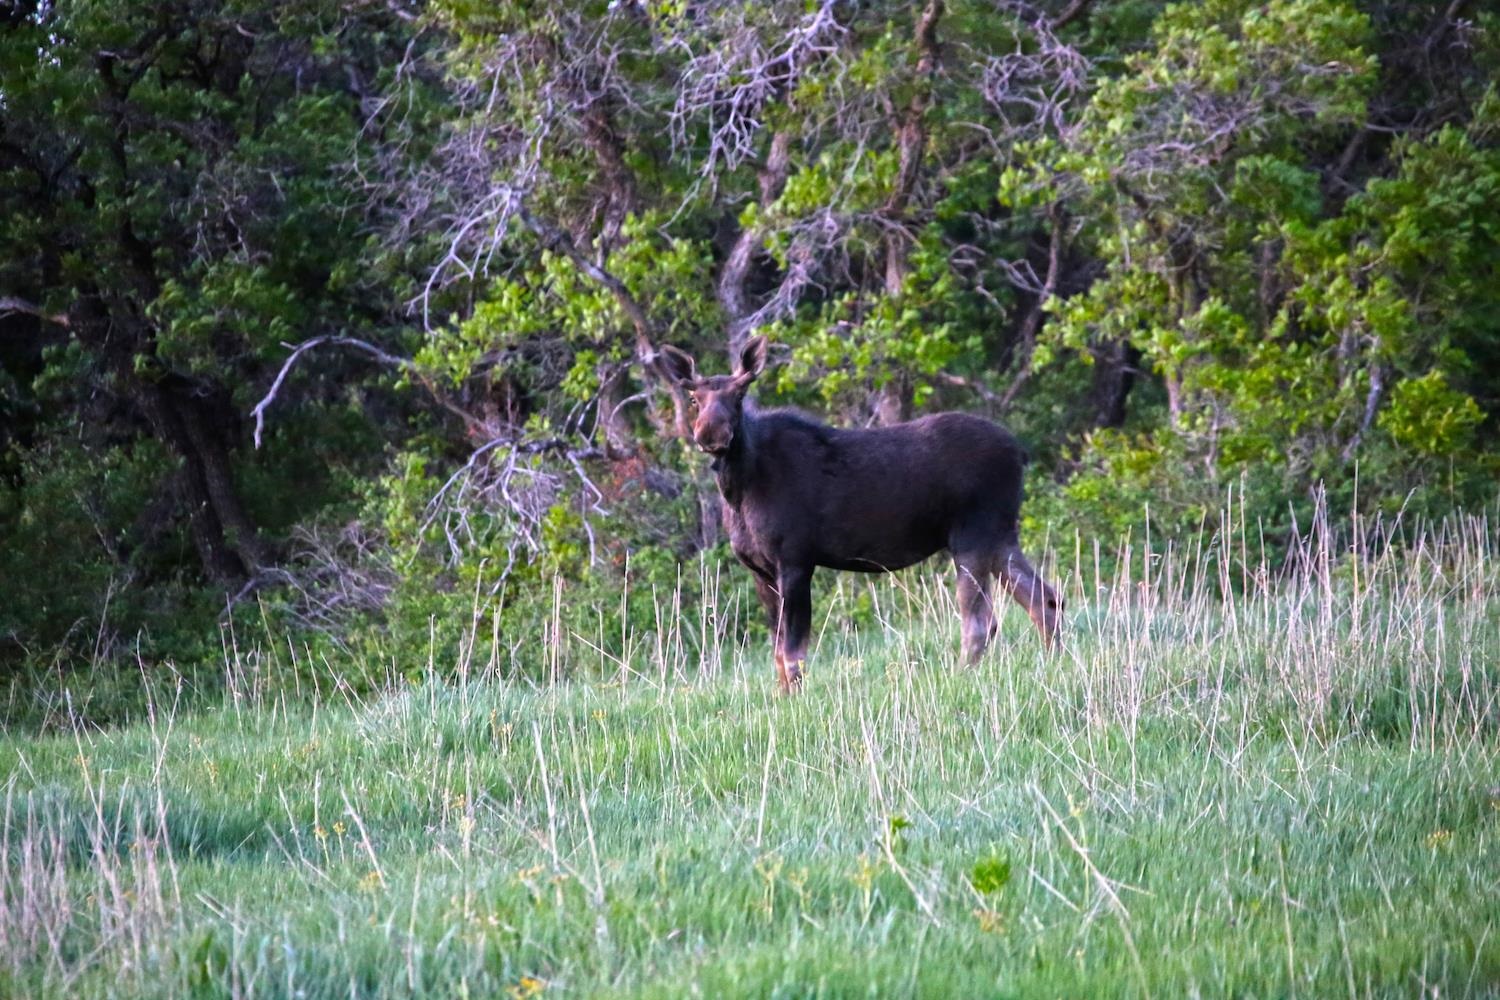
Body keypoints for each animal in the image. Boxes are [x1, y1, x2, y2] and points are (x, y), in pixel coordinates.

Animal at [660, 338, 1068, 695]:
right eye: (694, 398)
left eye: (739, 396)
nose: (710, 434)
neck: (740, 491)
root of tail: (1021, 453)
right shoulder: (760, 569)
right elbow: (778, 652)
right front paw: (782, 699)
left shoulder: (795, 560)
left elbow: (792, 652)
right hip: (999, 535)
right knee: (1045, 599)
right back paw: (1053, 663)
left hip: (972, 535)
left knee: (982, 621)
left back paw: (961, 677)